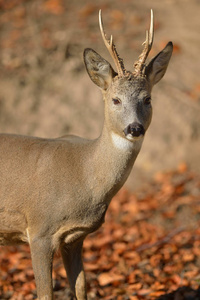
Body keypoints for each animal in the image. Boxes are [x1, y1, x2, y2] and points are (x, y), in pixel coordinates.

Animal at [0, 9, 172, 300]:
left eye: (147, 99)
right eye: (115, 99)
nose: (134, 128)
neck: (85, 176)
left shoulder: (75, 237)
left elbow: (80, 287)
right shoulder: (39, 229)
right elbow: (45, 293)